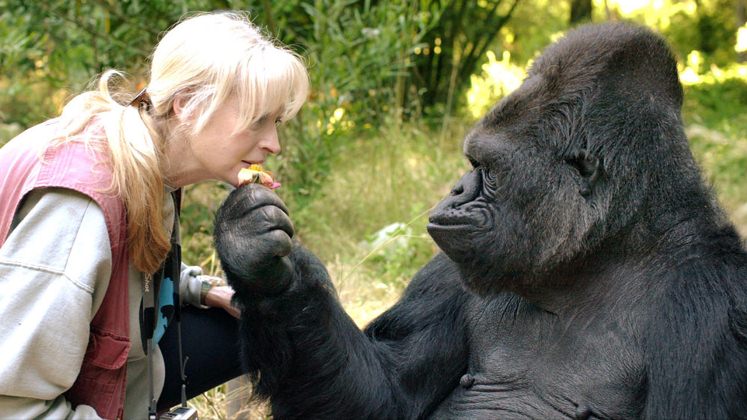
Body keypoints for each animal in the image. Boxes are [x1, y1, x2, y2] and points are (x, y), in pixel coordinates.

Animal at [212, 23, 747, 420]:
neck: (603, 250)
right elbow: (386, 397)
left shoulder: (715, 311)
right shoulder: (452, 268)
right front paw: (261, 262)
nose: (455, 190)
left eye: (486, 170)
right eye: (472, 163)